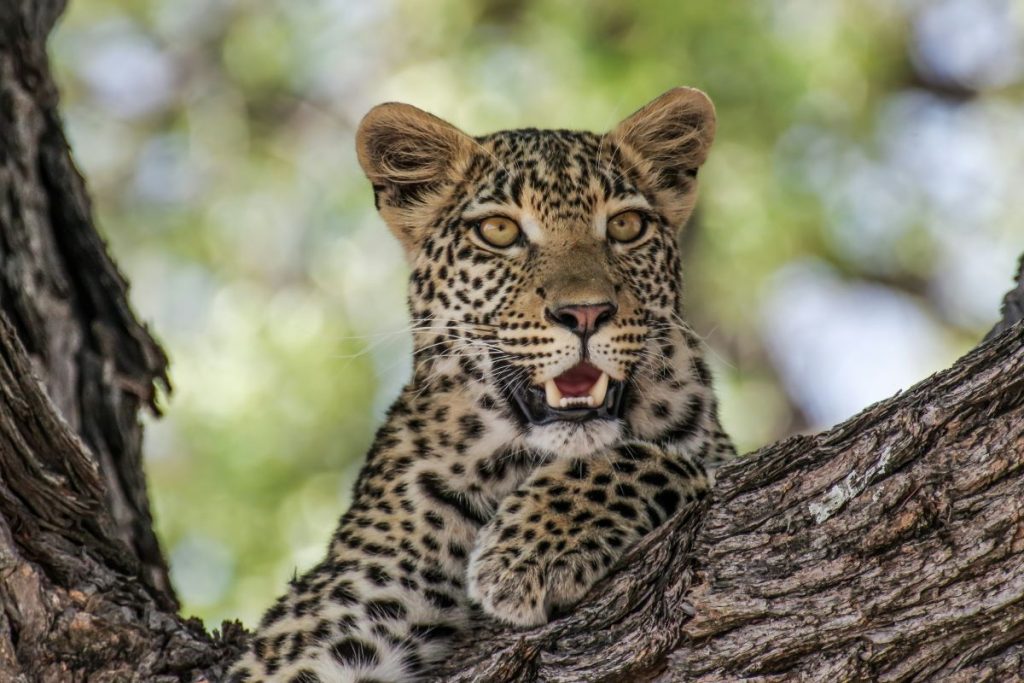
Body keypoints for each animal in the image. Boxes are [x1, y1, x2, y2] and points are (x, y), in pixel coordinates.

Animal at [226, 88, 737, 683]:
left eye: (627, 226)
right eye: (499, 232)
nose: (586, 313)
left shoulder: (711, 450)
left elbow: (669, 459)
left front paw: (528, 552)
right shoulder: (346, 601)